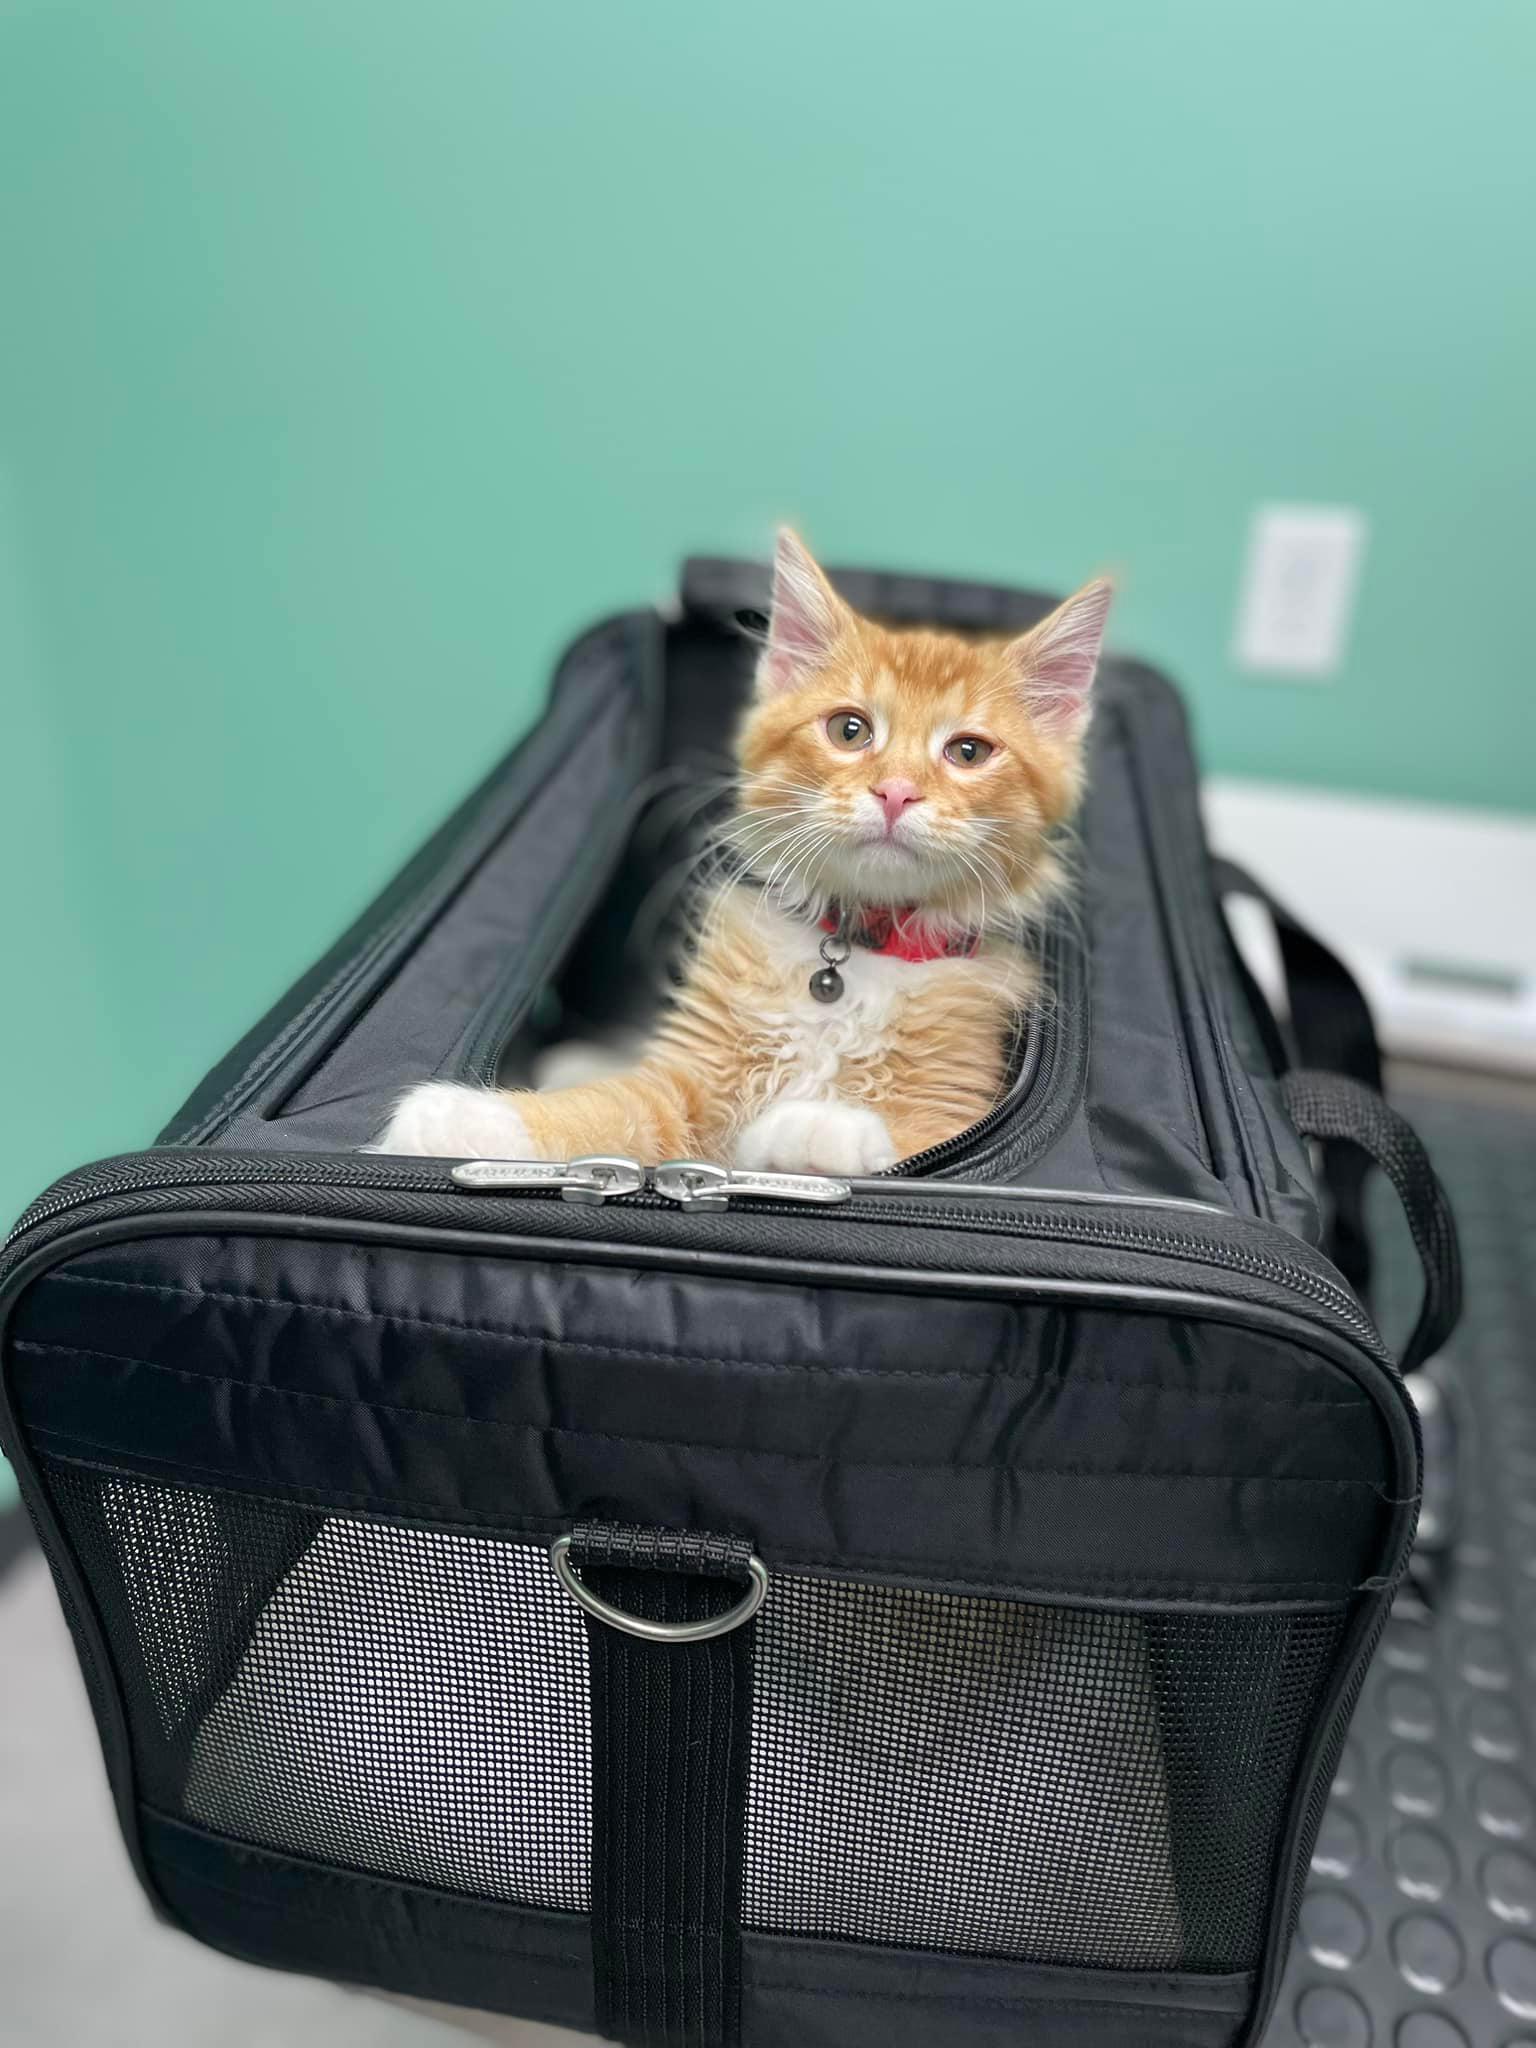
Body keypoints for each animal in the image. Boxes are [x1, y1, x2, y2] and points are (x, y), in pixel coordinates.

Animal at [378, 532, 1114, 1171]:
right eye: (850, 730)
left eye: (967, 751)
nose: (897, 792)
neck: (851, 961)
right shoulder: (688, 1080)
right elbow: (607, 1109)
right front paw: (467, 1118)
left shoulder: (955, 1110)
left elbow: (909, 1138)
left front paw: (818, 1128)